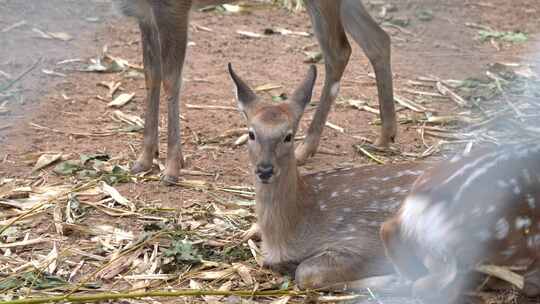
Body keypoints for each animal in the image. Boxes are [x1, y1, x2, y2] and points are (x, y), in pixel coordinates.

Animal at [114, 0, 398, 184]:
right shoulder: (143, 13)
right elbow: (151, 74)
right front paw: (143, 160)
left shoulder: (173, 7)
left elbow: (171, 80)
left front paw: (173, 167)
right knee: (377, 39)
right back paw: (385, 136)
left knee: (339, 51)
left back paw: (305, 148)